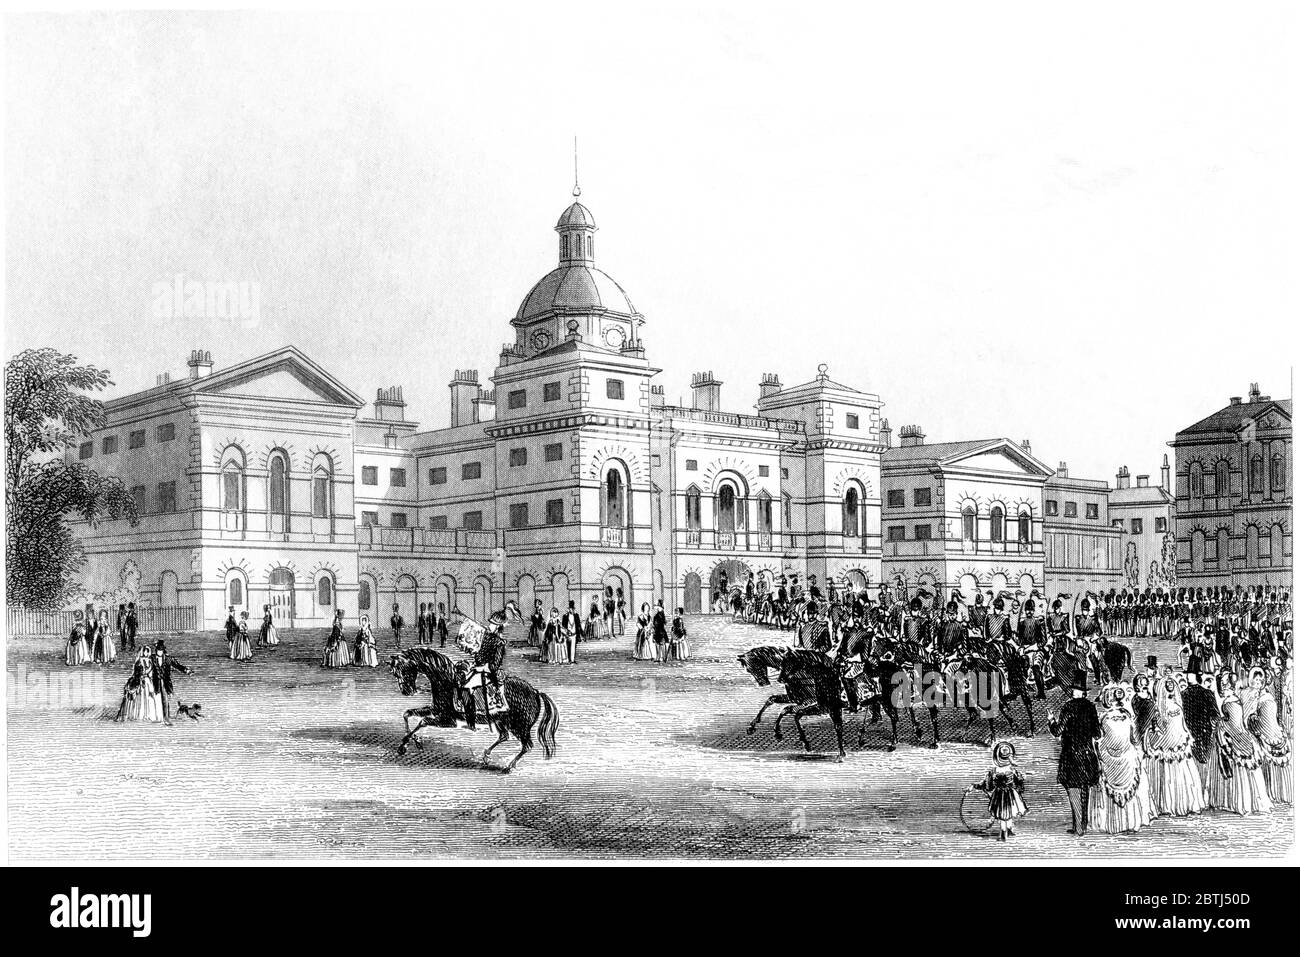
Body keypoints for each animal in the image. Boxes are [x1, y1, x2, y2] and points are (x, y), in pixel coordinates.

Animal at [384, 647, 559, 774]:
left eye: (404, 670)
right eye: (395, 673)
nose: (407, 691)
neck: (447, 681)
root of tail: (535, 692)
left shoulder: (448, 720)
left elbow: (422, 721)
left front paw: (410, 743)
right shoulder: (436, 710)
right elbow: (407, 714)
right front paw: (410, 742)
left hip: (519, 726)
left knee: (526, 745)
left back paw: (508, 767)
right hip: (502, 720)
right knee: (504, 736)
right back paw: (486, 755)